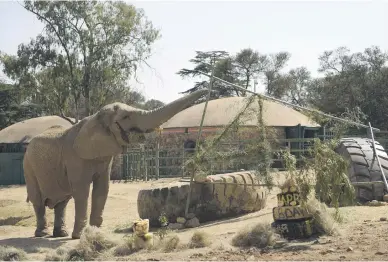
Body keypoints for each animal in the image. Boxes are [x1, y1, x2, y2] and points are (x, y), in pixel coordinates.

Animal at [22, 89, 208, 238]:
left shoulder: (104, 156)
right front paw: (79, 236)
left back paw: (61, 234)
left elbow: (102, 189)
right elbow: (82, 191)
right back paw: (42, 234)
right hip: (28, 167)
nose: (206, 88)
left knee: (62, 202)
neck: (94, 118)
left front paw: (95, 233)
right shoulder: (74, 157)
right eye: (125, 117)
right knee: (38, 200)